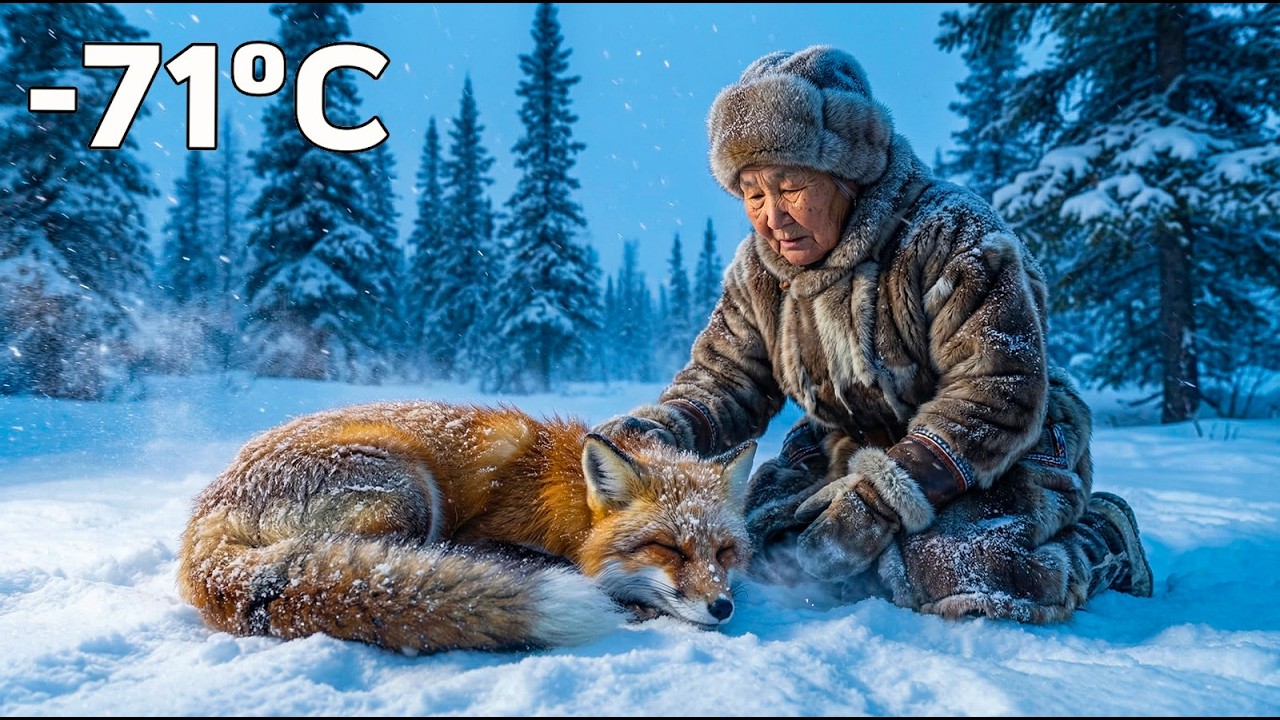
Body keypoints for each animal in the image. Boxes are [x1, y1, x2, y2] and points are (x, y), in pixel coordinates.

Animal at [176, 400, 757, 655]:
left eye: (724, 552)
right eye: (668, 549)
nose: (722, 608)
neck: (566, 496)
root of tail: (207, 512)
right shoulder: (478, 535)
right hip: (409, 488)